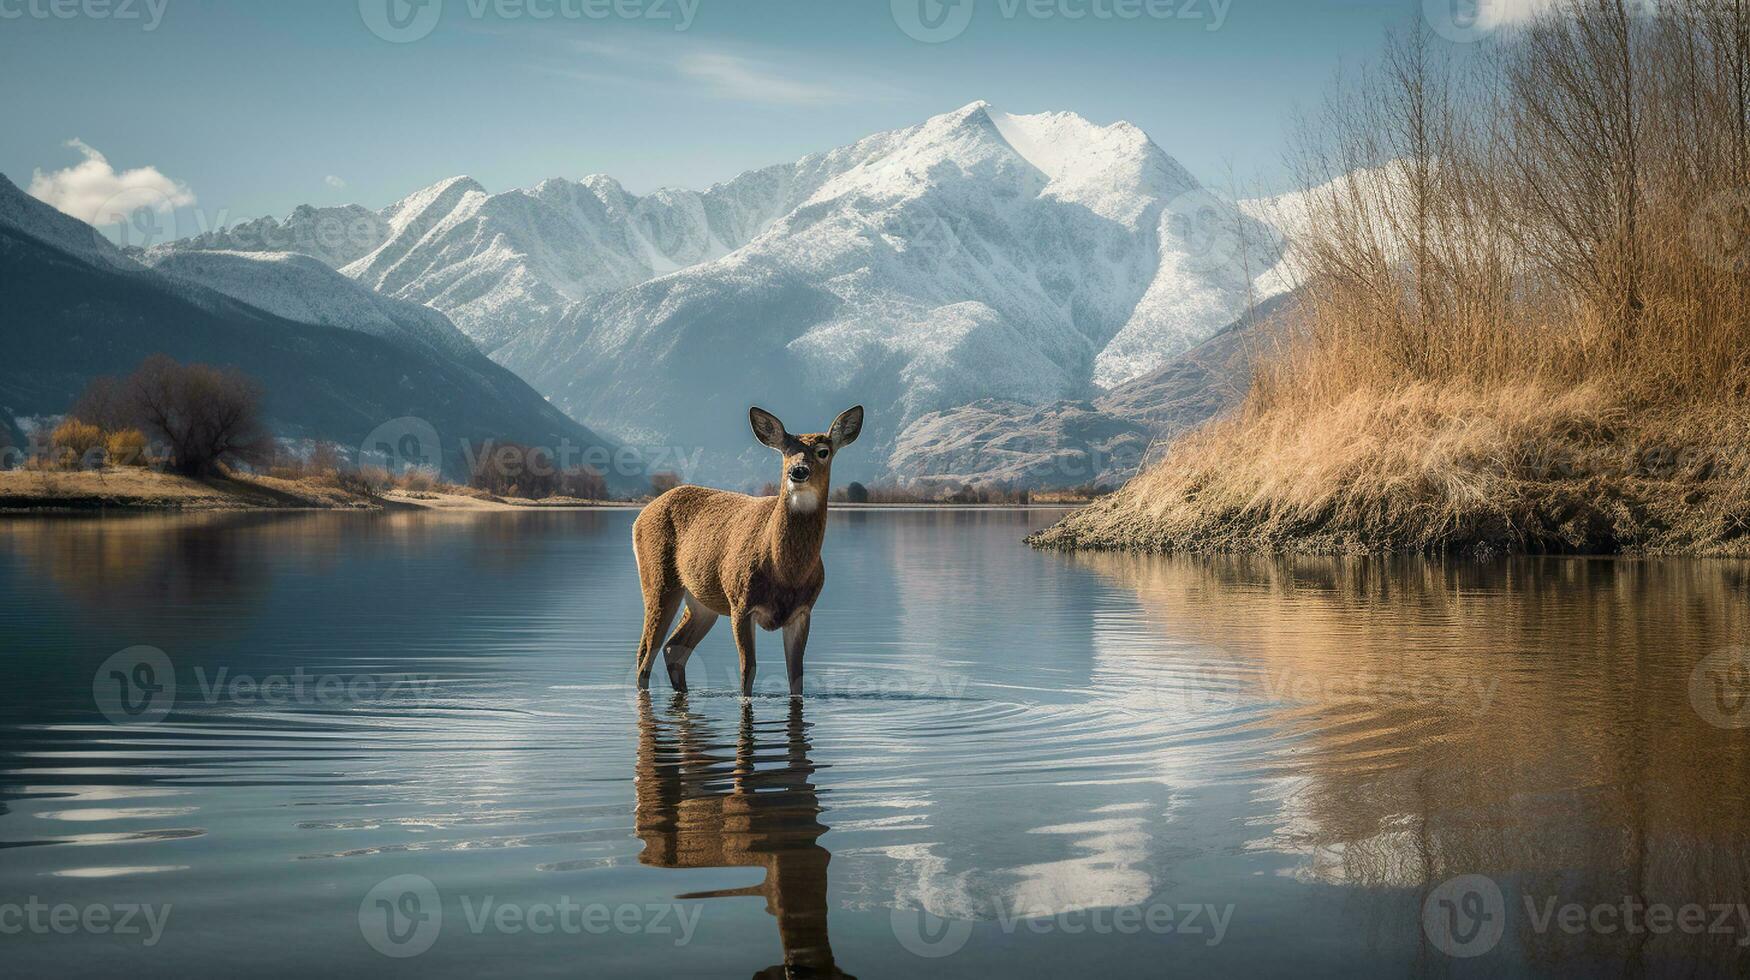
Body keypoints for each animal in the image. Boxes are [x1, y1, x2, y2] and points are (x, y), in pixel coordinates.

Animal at [637, 406, 868, 696]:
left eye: (823, 451)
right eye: (786, 451)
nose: (798, 471)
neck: (785, 573)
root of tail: (642, 514)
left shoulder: (803, 611)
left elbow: (797, 677)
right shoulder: (740, 603)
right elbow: (748, 672)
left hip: (701, 602)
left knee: (673, 648)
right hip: (658, 581)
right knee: (645, 655)